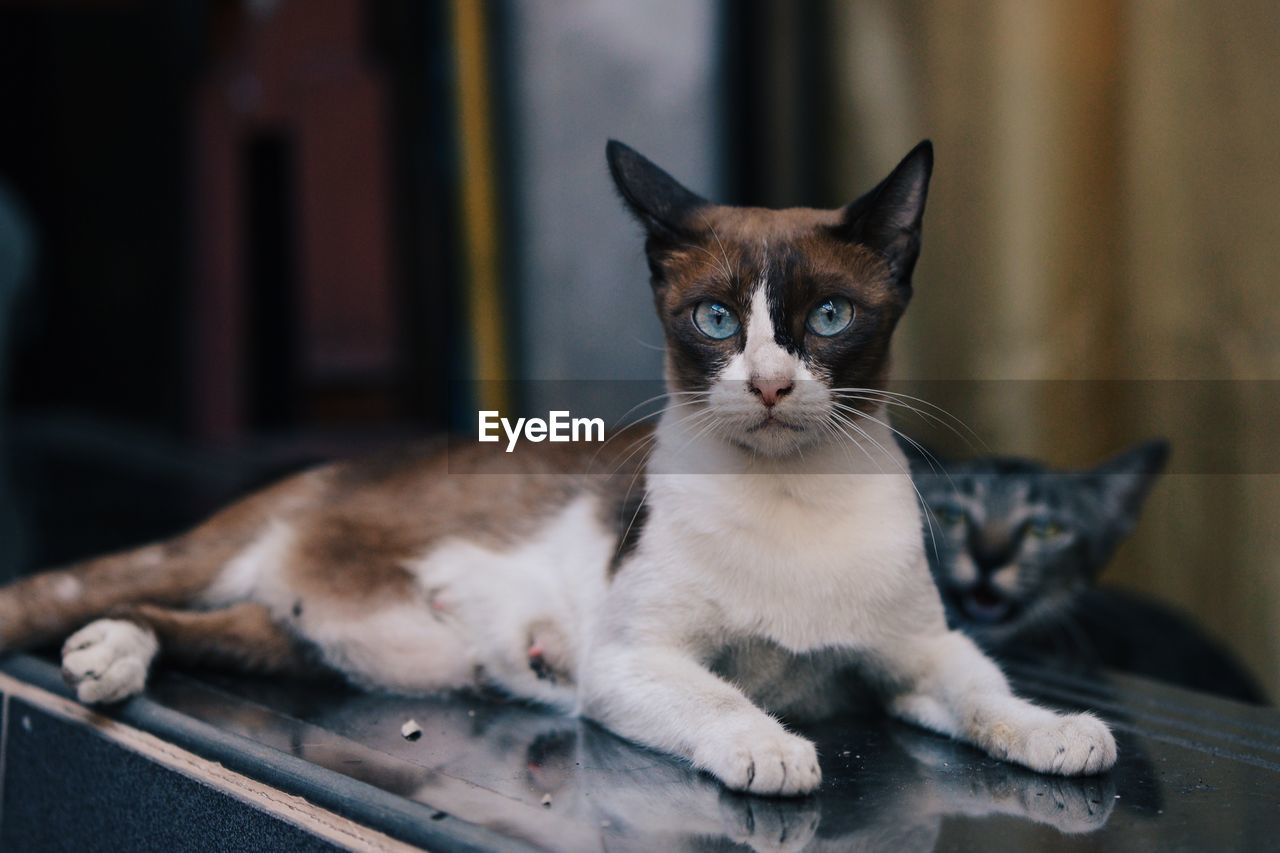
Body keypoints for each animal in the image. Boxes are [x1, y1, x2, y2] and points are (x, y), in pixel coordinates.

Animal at [0, 136, 1116, 794]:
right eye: (716, 321)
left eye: (831, 319)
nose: (766, 383)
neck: (793, 493)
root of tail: (326, 469)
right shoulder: (628, 663)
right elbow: (723, 697)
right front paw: (766, 745)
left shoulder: (914, 654)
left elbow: (984, 693)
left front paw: (1059, 729)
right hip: (229, 575)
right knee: (93, 590)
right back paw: (99, 648)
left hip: (333, 647)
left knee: (205, 624)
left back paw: (114, 655)